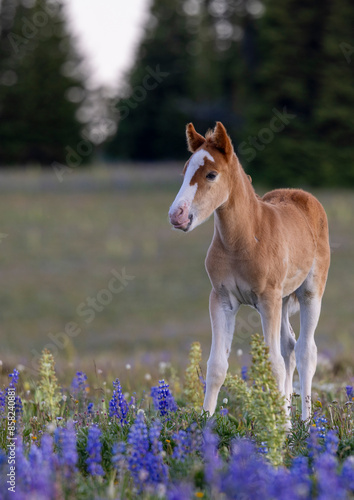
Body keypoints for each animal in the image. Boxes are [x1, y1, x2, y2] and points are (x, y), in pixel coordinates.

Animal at [168, 121, 330, 422]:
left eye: (211, 174)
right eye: (184, 172)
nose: (177, 215)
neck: (243, 240)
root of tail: (302, 195)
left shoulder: (268, 299)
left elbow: (273, 363)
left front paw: (283, 430)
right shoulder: (222, 299)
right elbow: (217, 365)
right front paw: (205, 423)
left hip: (309, 293)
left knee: (305, 351)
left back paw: (305, 422)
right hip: (282, 300)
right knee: (289, 348)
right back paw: (289, 415)